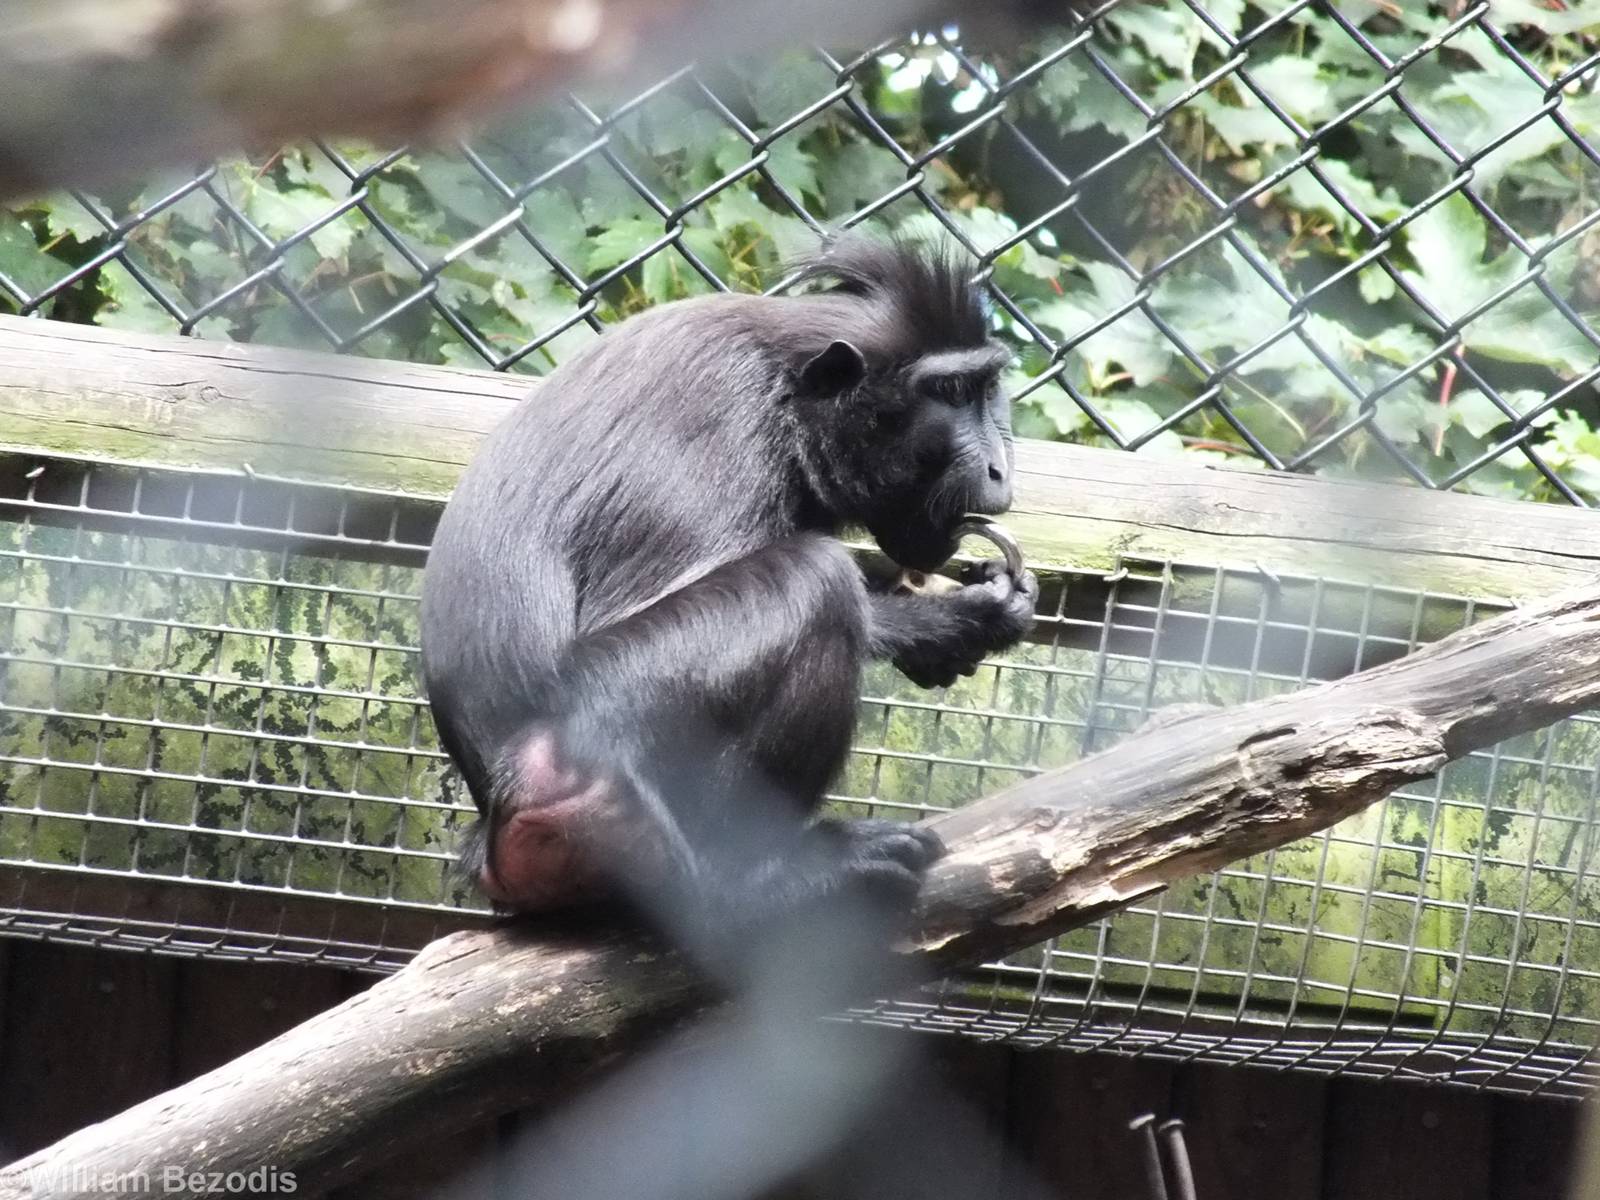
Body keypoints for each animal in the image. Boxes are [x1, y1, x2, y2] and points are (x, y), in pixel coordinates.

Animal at [419, 236, 1039, 951]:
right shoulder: (718, 434)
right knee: (816, 584)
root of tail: (494, 830)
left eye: (986, 390)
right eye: (948, 393)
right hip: (579, 781)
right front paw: (945, 620)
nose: (1001, 466)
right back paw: (754, 886)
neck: (787, 393)